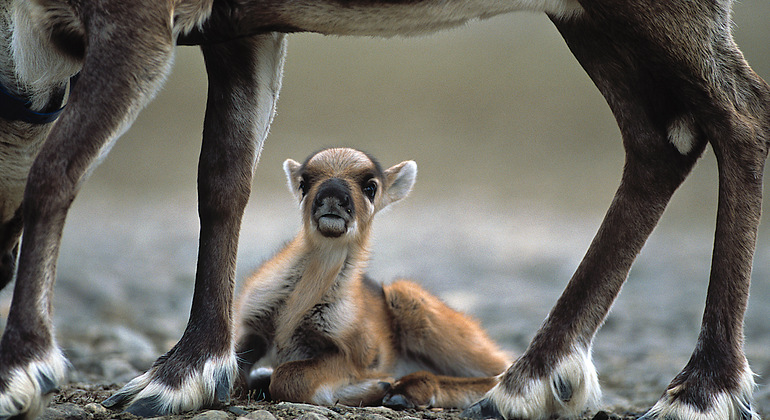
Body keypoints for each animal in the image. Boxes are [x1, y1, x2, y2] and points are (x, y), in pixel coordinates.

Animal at [236, 148, 510, 406]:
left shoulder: (353, 353)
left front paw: (376, 385)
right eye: (304, 183)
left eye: (370, 186)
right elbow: (238, 376)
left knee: (502, 369)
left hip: (418, 306)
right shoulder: (251, 326)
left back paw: (405, 390)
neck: (292, 313)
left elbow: (287, 377)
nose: (332, 196)